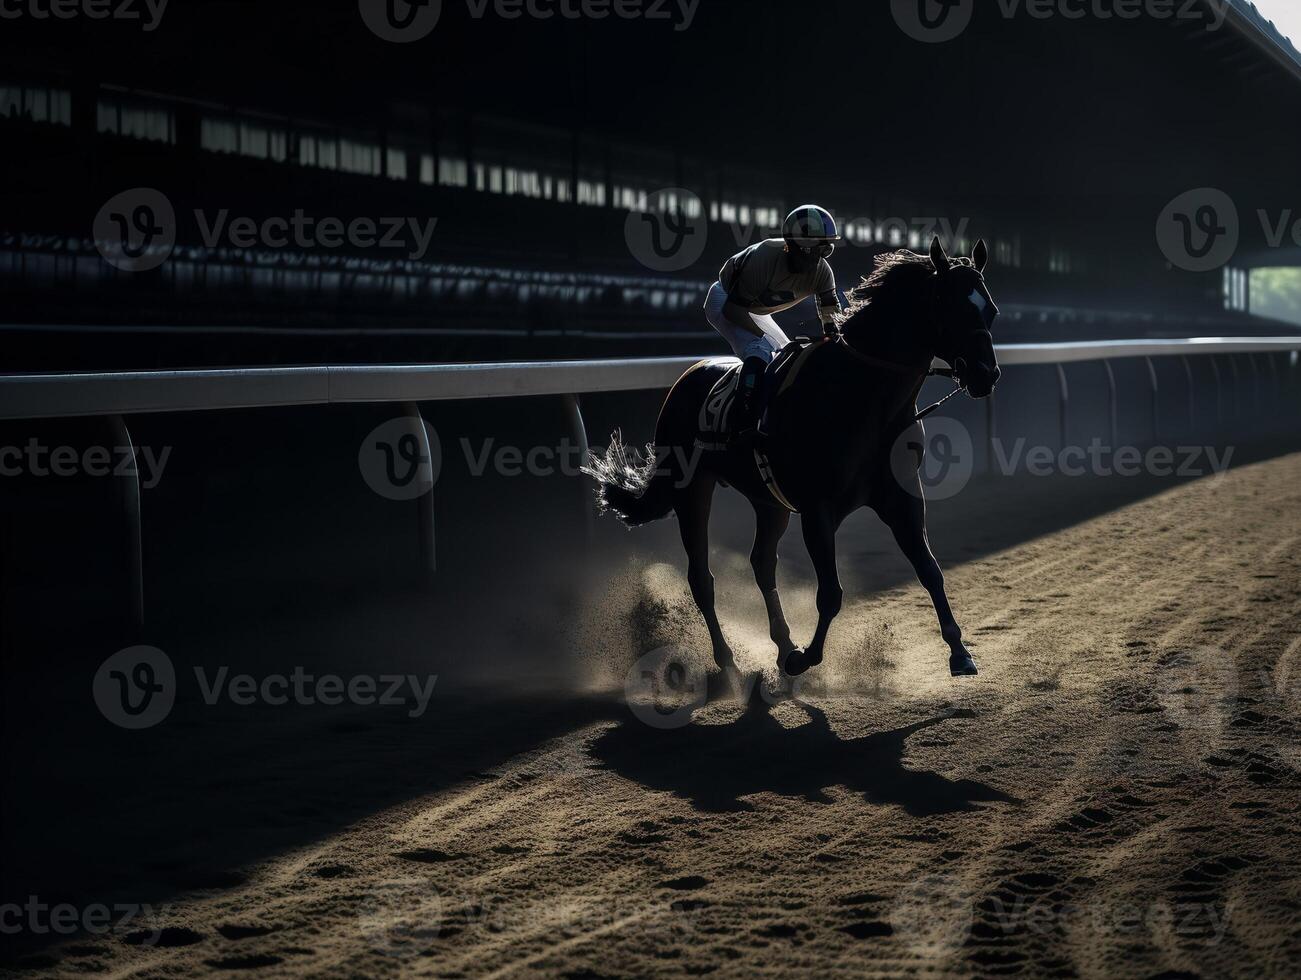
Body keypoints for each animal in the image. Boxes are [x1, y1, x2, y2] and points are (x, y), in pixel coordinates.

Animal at [585, 235, 999, 681]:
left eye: (989, 310)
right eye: (950, 304)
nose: (986, 375)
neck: (862, 397)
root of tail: (684, 380)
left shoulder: (901, 498)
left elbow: (930, 571)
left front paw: (959, 651)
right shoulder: (818, 509)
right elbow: (831, 594)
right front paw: (806, 657)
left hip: (769, 501)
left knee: (762, 563)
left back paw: (782, 643)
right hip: (691, 488)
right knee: (702, 579)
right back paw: (729, 662)